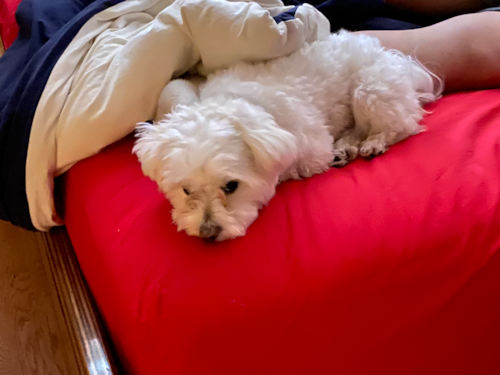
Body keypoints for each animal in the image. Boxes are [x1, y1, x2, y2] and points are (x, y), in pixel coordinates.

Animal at [134, 29, 442, 241]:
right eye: (186, 190)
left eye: (231, 186)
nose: (208, 232)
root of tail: (399, 60)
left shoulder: (313, 147)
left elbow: (297, 165)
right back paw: (346, 147)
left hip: (371, 89)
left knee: (402, 124)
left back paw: (374, 142)